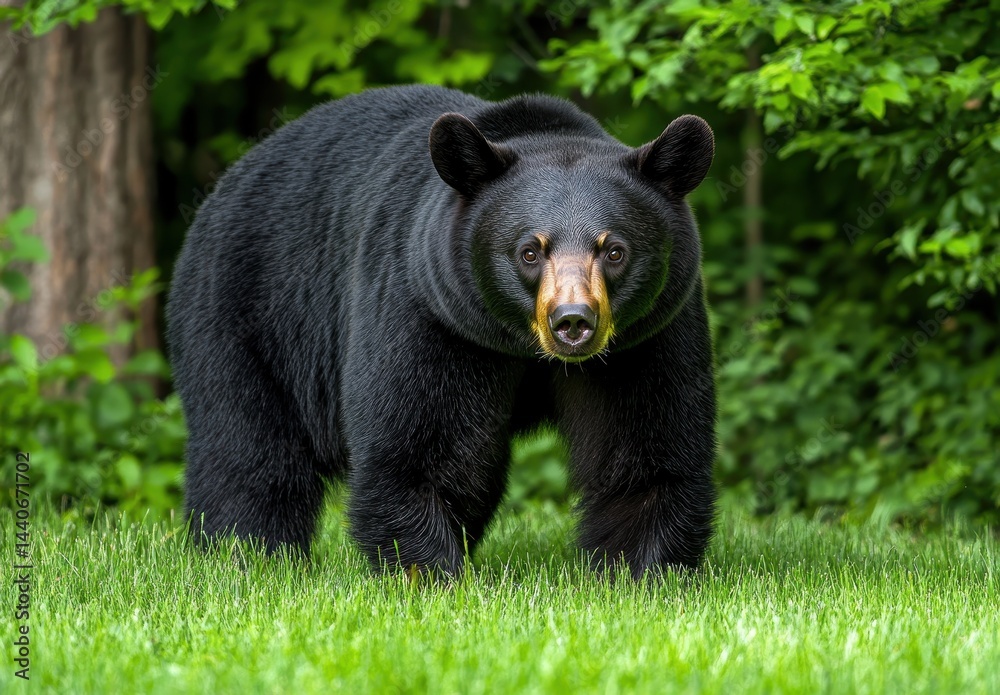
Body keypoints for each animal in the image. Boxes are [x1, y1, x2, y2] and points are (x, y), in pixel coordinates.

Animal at [167, 84, 717, 580]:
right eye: (530, 251)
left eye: (614, 250)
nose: (573, 321)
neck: (521, 348)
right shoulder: (429, 311)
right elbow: (416, 446)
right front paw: (429, 574)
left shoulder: (647, 338)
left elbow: (648, 449)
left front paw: (639, 573)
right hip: (247, 312)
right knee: (246, 449)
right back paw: (248, 555)